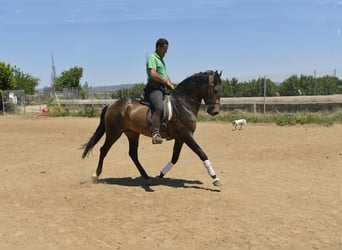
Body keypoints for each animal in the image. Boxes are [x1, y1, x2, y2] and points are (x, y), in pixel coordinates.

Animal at [82, 69, 223, 187]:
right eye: (216, 89)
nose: (215, 111)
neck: (184, 103)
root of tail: (111, 105)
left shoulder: (180, 138)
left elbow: (175, 158)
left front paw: (160, 174)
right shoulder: (186, 135)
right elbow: (201, 153)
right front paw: (215, 178)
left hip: (132, 134)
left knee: (133, 154)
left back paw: (146, 177)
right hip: (114, 132)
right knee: (103, 150)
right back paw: (96, 175)